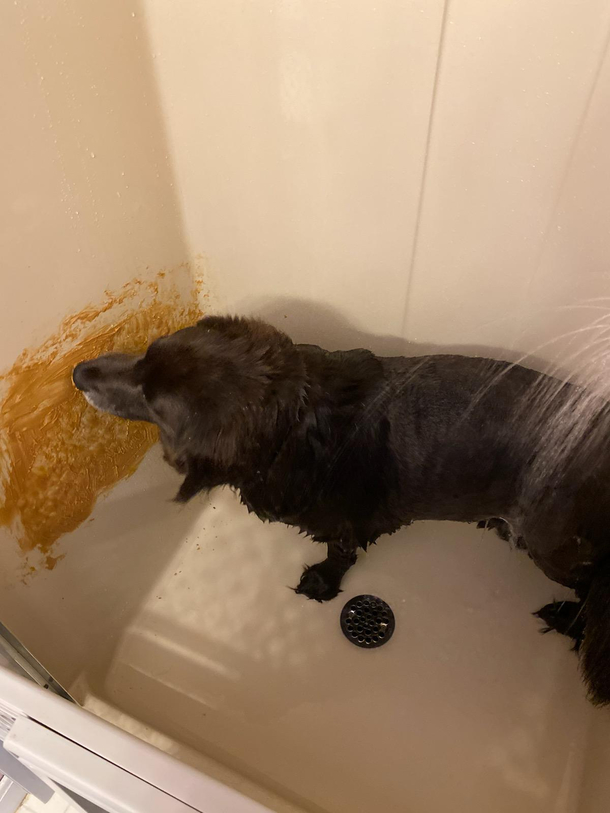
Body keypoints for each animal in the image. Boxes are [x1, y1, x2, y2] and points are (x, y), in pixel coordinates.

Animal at [72, 316, 610, 704]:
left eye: (151, 402)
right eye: (147, 351)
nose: (78, 374)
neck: (294, 428)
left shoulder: (344, 524)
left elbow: (340, 555)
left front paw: (321, 583)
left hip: (553, 546)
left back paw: (567, 618)